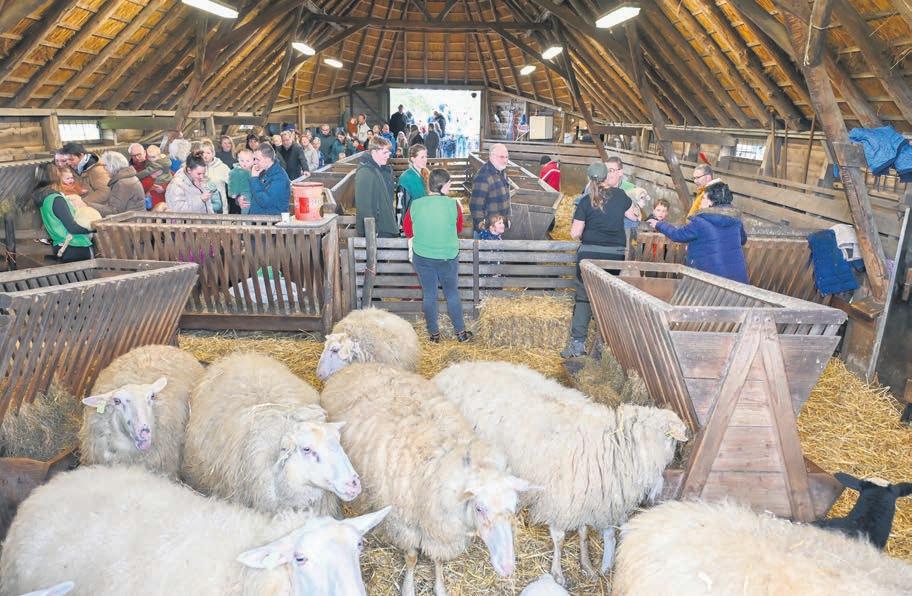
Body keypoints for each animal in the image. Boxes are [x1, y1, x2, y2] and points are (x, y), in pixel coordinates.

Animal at [321, 363, 534, 596]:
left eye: (513, 506)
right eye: (479, 508)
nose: (508, 567)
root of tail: (355, 366)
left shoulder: (440, 532)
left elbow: (438, 560)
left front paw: (439, 587)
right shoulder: (404, 524)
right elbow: (412, 557)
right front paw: (408, 587)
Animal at [433, 361, 687, 585]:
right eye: (671, 437)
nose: (685, 442)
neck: (614, 446)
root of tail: (449, 371)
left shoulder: (584, 498)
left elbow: (583, 532)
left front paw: (587, 564)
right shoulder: (559, 499)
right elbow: (559, 538)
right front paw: (557, 572)